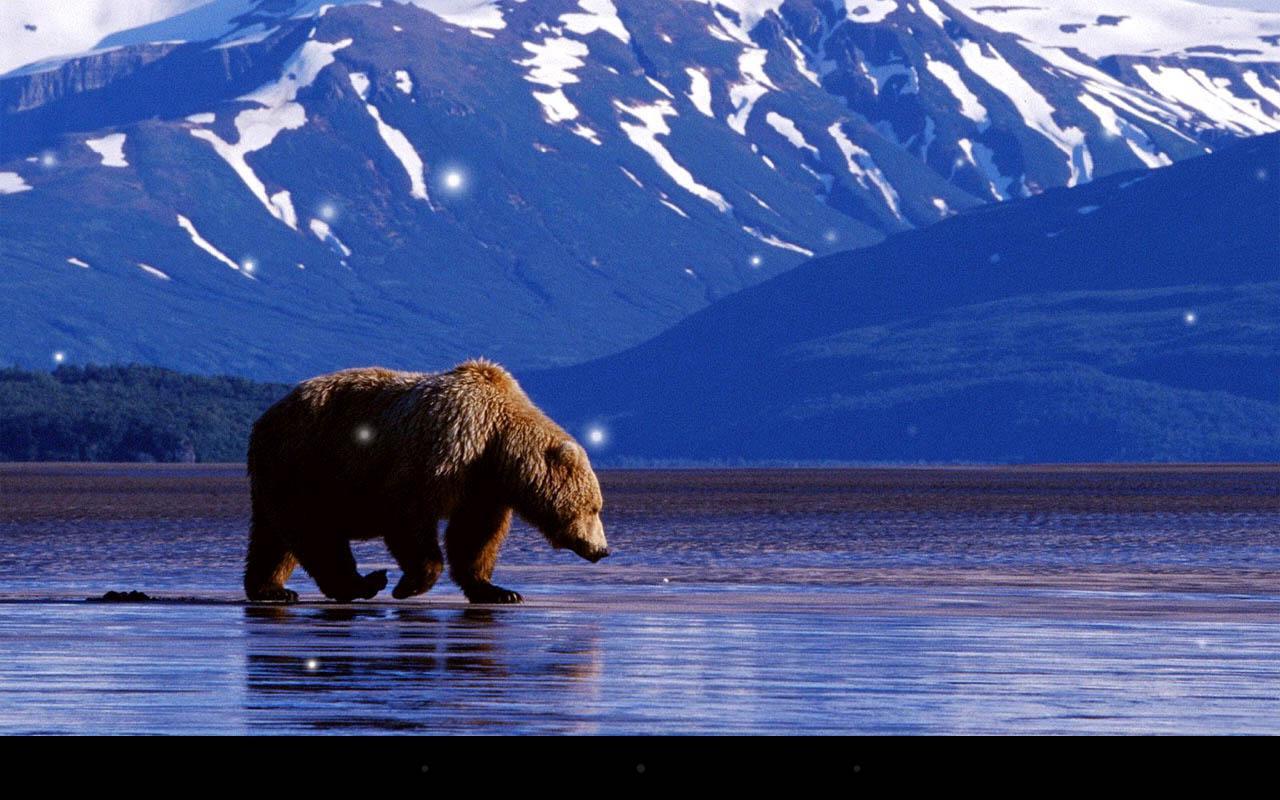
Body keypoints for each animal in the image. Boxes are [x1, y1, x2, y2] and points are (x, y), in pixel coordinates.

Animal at [243, 359, 608, 604]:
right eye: (594, 507)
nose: (602, 550)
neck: (495, 442)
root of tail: (264, 418)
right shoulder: (443, 452)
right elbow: (408, 513)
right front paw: (410, 584)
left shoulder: (482, 487)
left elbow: (475, 535)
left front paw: (498, 590)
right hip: (307, 462)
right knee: (314, 529)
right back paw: (362, 583)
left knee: (274, 538)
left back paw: (270, 588)